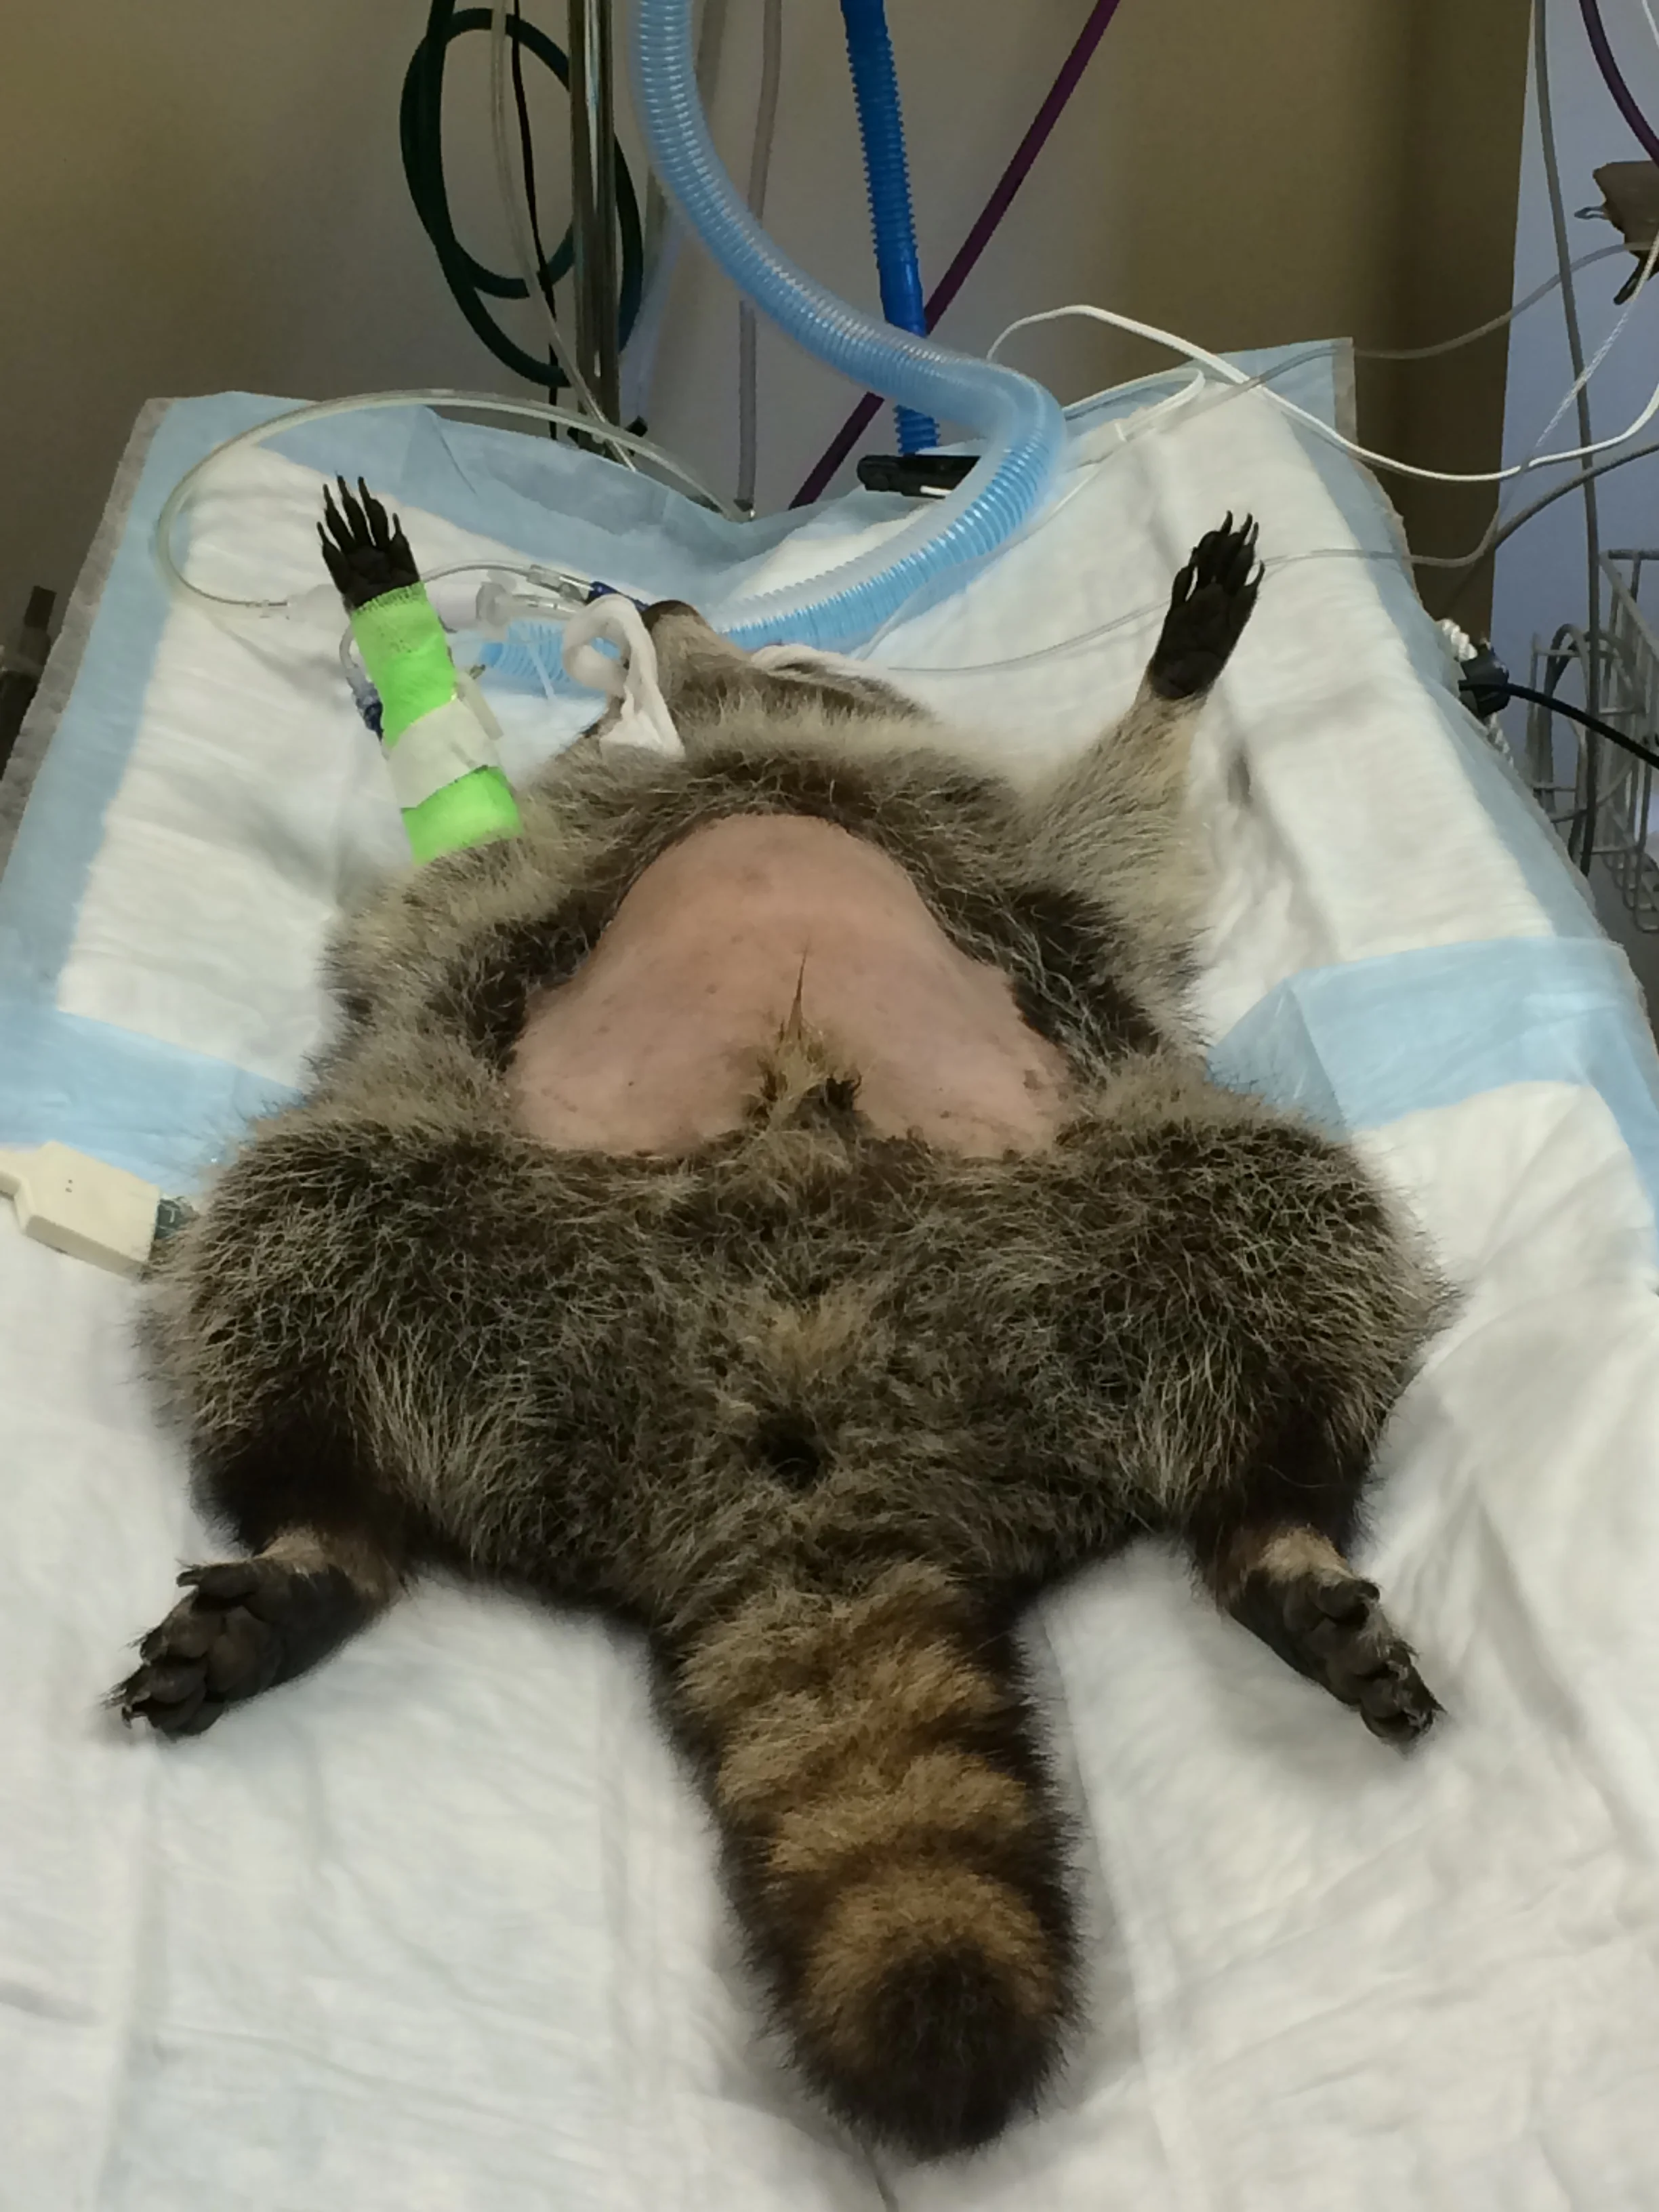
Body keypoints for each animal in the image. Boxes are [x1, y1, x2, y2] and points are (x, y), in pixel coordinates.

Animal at [115, 496, 1445, 2162]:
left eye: (811, 657)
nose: (674, 616)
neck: (758, 754)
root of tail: (813, 1447)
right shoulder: (518, 875)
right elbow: (446, 875)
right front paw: (399, 607)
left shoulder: (1020, 861)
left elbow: (1127, 830)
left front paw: (1174, 681)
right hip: (456, 1208)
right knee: (287, 1222)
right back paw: (320, 1529)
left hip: (1122, 1196)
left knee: (1306, 1211)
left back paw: (1280, 1516)